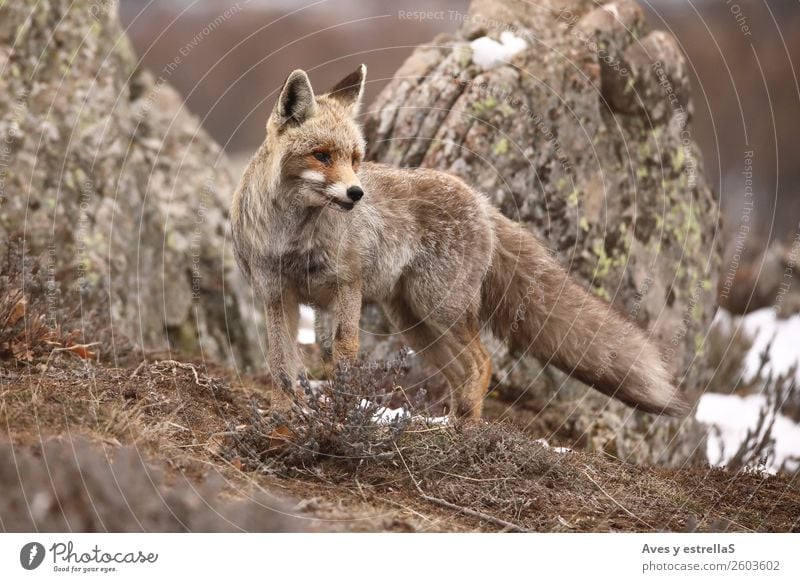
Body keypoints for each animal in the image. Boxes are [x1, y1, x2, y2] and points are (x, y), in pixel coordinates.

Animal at [228, 64, 692, 422]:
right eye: (322, 155)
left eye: (356, 159)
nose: (357, 194)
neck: (292, 237)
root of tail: (482, 202)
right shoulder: (276, 294)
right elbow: (281, 365)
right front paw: (287, 414)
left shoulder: (347, 287)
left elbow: (342, 357)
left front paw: (337, 416)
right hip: (416, 321)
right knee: (460, 372)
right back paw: (444, 426)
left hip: (437, 308)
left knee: (481, 365)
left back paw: (463, 432)